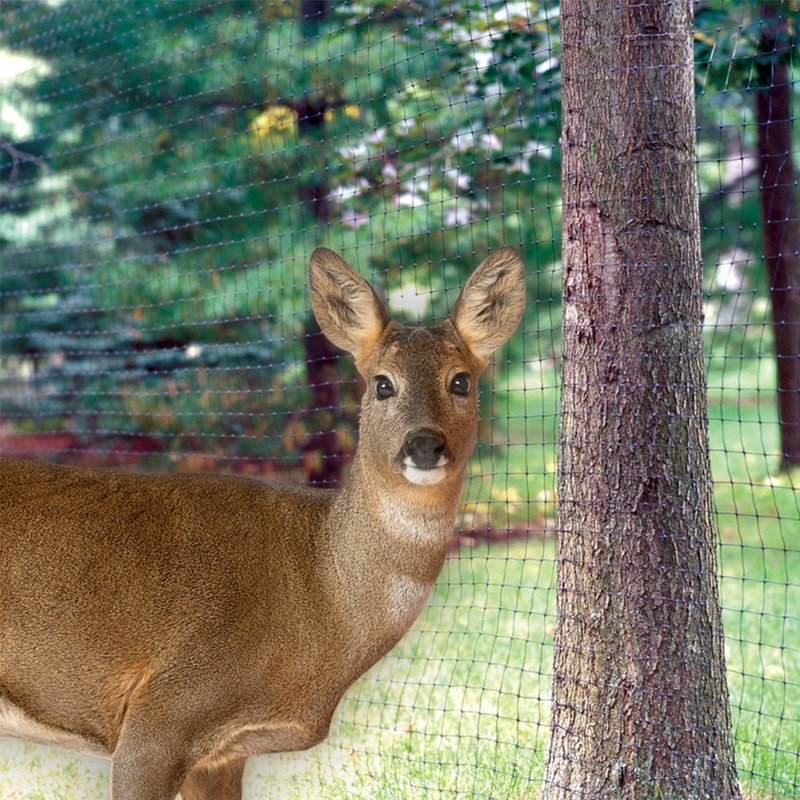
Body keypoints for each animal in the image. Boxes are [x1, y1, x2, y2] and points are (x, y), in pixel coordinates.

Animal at [0, 246, 525, 800]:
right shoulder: (162, 713)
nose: (424, 444)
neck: (320, 594)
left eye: (460, 381)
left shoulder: (222, 754)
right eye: (383, 383)